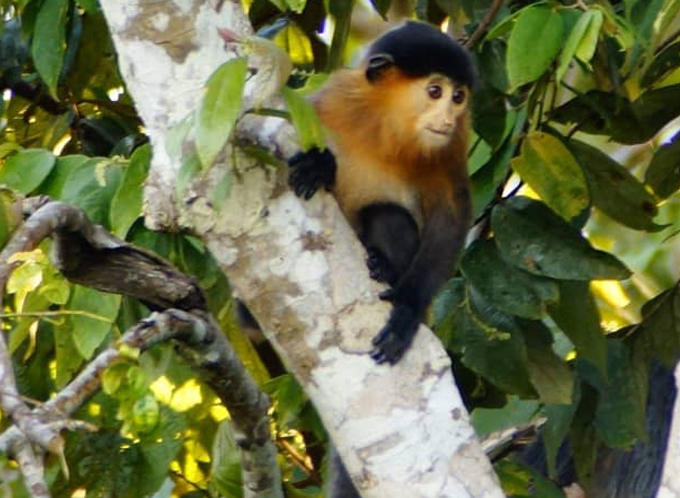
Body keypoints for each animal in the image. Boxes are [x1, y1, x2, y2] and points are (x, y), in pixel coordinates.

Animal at [290, 21, 476, 364]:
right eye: (435, 92)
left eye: (458, 97)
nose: (446, 119)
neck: (387, 126)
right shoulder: (337, 98)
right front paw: (318, 164)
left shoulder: (453, 143)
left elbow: (451, 218)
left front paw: (408, 307)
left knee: (387, 215)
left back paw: (384, 266)